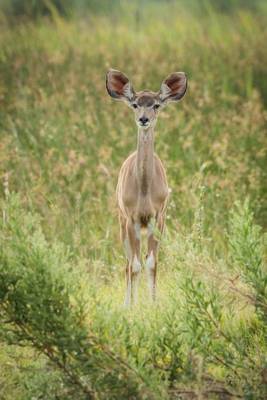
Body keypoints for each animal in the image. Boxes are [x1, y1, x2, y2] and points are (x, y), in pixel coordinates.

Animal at [105, 69, 187, 306]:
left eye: (156, 105)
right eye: (134, 104)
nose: (144, 119)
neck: (143, 193)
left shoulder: (157, 216)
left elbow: (151, 262)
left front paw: (153, 304)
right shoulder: (131, 217)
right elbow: (135, 265)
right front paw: (132, 306)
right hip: (121, 222)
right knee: (128, 263)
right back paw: (127, 302)